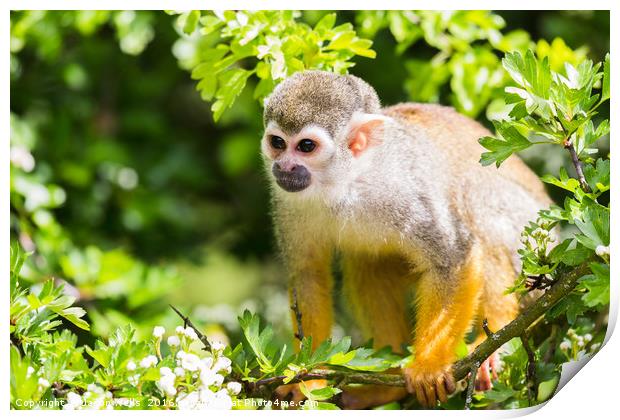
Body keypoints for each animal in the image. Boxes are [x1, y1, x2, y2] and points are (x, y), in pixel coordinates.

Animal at [260, 71, 548, 406]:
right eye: (277, 142)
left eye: (306, 146)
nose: (283, 166)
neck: (347, 182)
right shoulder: (286, 201)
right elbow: (308, 275)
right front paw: (308, 379)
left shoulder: (406, 191)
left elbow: (454, 257)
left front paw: (429, 366)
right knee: (366, 264)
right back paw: (386, 382)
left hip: (530, 239)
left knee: (475, 201)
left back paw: (499, 334)